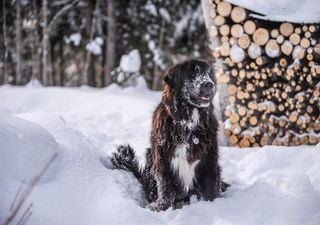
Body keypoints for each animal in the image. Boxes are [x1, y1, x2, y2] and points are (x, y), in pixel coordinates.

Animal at [111, 59, 226, 211]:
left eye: (209, 73)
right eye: (193, 73)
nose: (209, 84)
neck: (187, 124)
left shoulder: (209, 161)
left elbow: (210, 189)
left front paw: (212, 206)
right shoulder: (163, 160)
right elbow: (165, 187)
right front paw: (162, 207)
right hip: (150, 158)